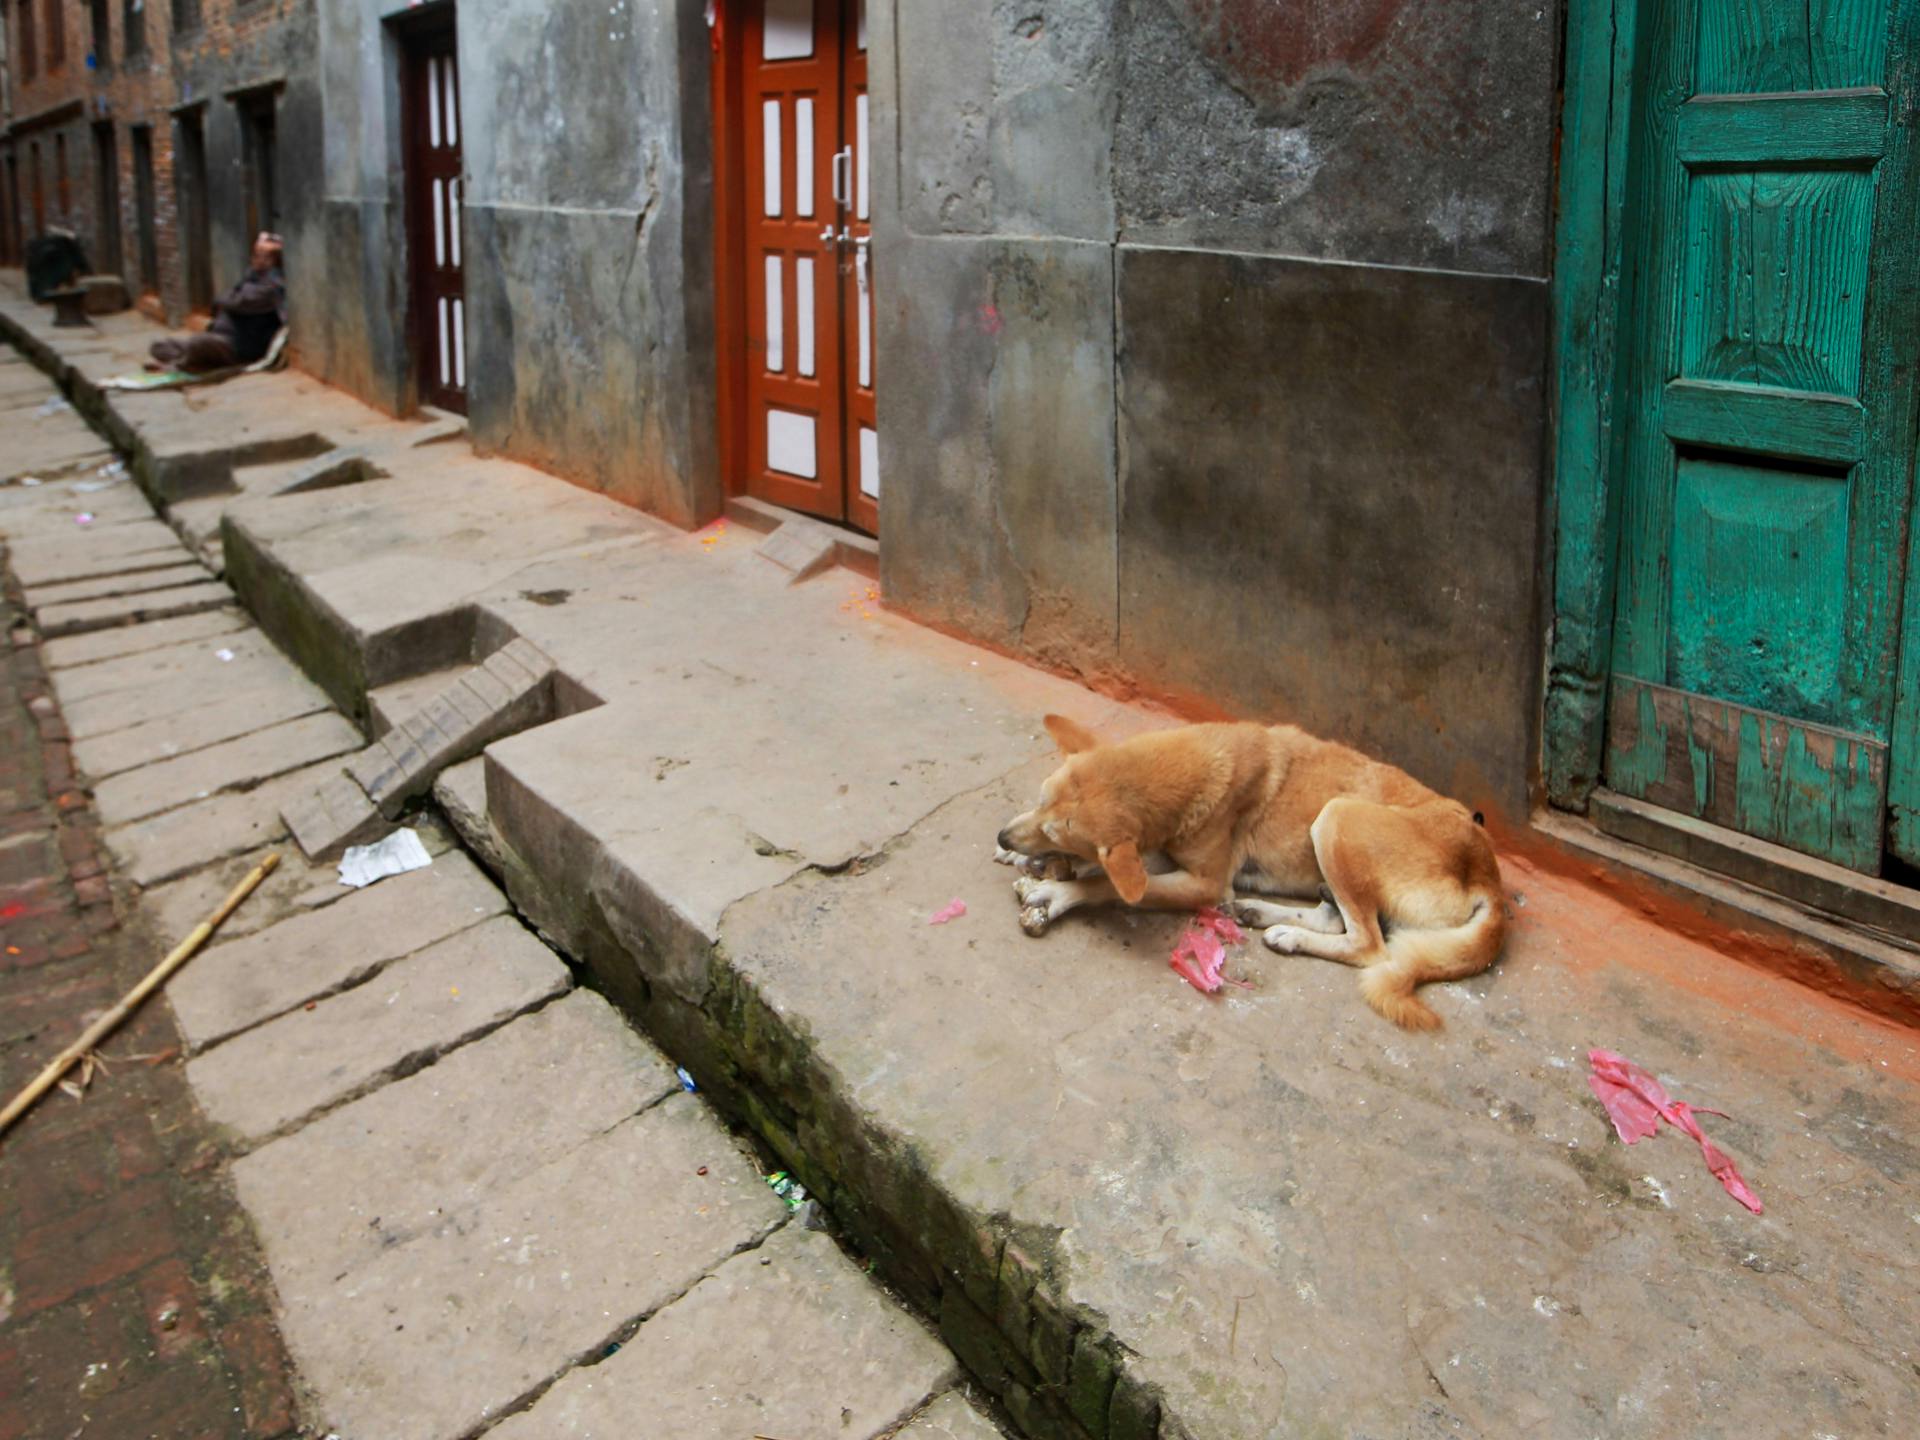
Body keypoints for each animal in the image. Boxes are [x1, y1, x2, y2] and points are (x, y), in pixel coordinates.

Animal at [998, 718, 1505, 1029]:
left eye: (1056, 832)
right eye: (1039, 800)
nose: (1003, 836)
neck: (1202, 762)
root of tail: (1489, 874)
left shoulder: (1204, 882)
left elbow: (1107, 882)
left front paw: (1054, 893)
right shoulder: (1162, 854)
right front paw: (1031, 863)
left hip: (1338, 817)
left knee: (1369, 945)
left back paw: (1288, 934)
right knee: (1338, 919)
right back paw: (1266, 917)